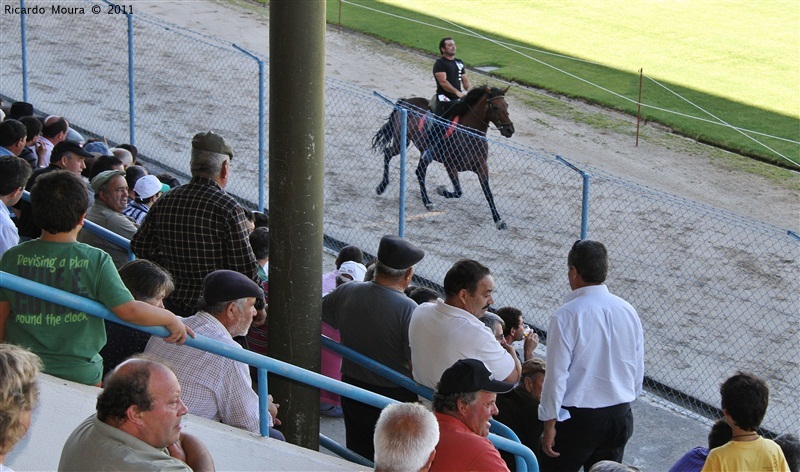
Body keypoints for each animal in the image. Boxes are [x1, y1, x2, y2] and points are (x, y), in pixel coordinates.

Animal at [374, 87, 516, 231]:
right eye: (495, 107)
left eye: (506, 105)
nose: (509, 129)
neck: (469, 135)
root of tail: (406, 101)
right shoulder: (450, 165)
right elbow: (458, 191)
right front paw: (441, 190)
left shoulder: (482, 167)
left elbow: (488, 193)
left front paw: (498, 220)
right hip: (401, 140)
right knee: (390, 155)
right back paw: (385, 187)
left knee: (416, 169)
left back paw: (425, 201)